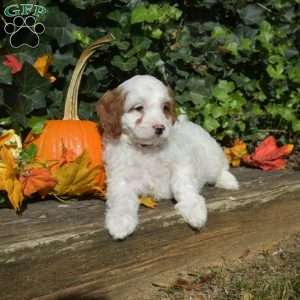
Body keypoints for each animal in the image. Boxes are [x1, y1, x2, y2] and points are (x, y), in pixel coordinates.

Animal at [96, 75, 239, 239]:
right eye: (139, 108)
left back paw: (228, 181)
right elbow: (122, 199)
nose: (160, 128)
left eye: (164, 108)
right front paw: (119, 222)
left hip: (211, 155)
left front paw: (194, 210)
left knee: (220, 168)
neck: (147, 148)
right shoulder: (120, 177)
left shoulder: (181, 164)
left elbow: (183, 186)